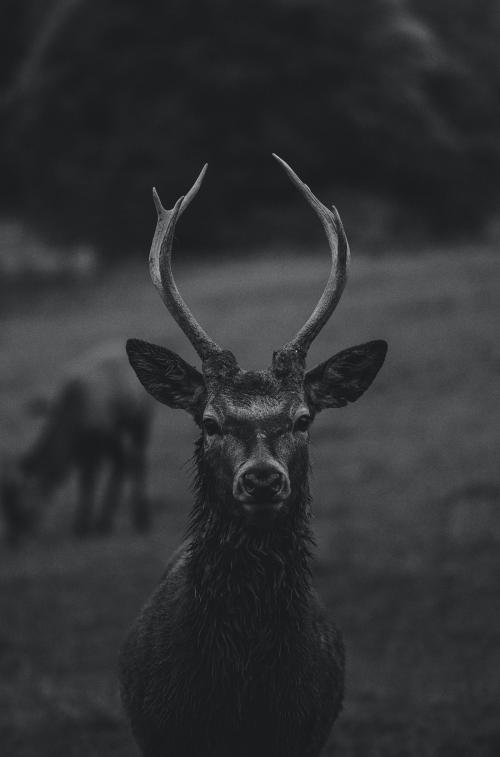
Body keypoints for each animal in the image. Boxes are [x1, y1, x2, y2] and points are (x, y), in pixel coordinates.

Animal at [0, 342, 153, 544]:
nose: (12, 540)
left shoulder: (98, 441)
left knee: (138, 461)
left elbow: (89, 482)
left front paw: (82, 527)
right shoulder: (87, 446)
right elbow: (85, 482)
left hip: (139, 420)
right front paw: (86, 524)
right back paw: (105, 522)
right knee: (122, 465)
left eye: (19, 510)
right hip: (116, 432)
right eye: (5, 510)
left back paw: (141, 519)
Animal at [120, 154, 386, 756]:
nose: (262, 479)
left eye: (303, 418)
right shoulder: (162, 730)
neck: (240, 703)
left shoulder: (306, 729)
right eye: (210, 421)